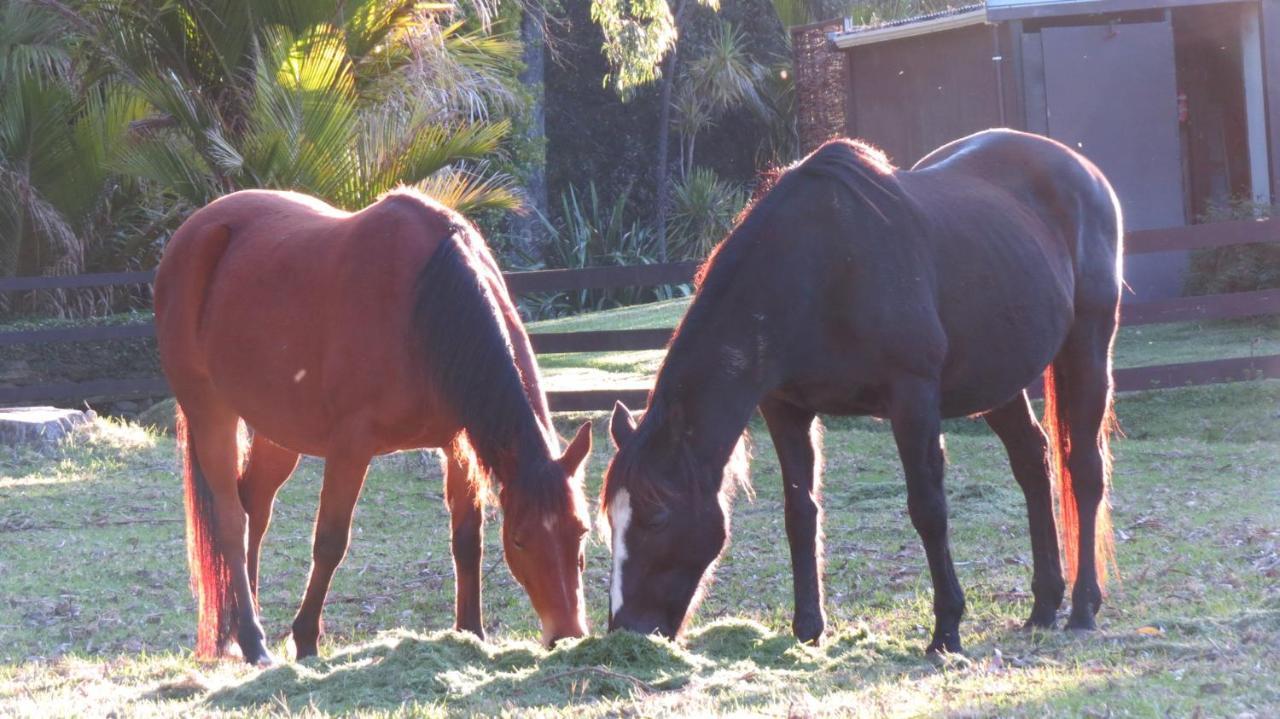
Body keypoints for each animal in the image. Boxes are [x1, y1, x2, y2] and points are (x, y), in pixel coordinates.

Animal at [154, 185, 588, 660]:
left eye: (581, 532)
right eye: (520, 539)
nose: (567, 634)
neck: (426, 302)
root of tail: (194, 233)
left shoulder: (459, 445)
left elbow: (466, 539)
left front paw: (470, 631)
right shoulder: (351, 447)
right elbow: (330, 542)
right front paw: (306, 639)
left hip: (279, 431)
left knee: (255, 505)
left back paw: (240, 627)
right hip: (210, 412)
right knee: (232, 521)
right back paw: (252, 640)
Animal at [599, 126, 1121, 652]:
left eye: (656, 516)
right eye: (612, 519)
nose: (627, 628)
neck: (817, 270)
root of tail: (1085, 172)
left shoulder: (912, 398)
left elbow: (928, 509)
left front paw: (946, 630)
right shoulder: (784, 409)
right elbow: (799, 513)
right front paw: (808, 629)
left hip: (1089, 345)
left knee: (1084, 468)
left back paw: (1082, 607)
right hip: (996, 377)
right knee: (1033, 461)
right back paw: (1044, 605)